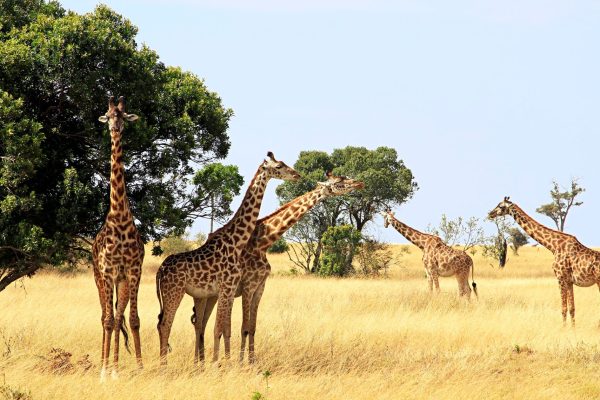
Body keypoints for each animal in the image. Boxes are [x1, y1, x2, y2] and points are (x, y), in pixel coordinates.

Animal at [156, 152, 300, 366]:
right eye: (279, 166)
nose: (297, 175)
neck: (236, 242)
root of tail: (160, 271)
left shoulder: (229, 290)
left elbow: (225, 328)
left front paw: (225, 362)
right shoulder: (227, 287)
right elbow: (220, 328)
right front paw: (219, 364)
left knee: (173, 324)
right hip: (174, 292)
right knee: (166, 325)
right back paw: (164, 365)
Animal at [188, 172, 366, 366]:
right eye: (340, 181)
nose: (359, 183)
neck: (263, 242)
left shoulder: (260, 287)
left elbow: (252, 327)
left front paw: (252, 362)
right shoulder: (248, 285)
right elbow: (243, 327)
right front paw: (242, 363)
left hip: (214, 295)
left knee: (203, 323)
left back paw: (202, 361)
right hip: (204, 294)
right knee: (199, 324)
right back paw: (199, 362)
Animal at [488, 196, 600, 324]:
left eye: (500, 206)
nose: (490, 214)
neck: (554, 246)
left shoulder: (560, 278)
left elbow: (563, 309)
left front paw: (563, 328)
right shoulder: (569, 281)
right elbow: (572, 309)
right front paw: (572, 328)